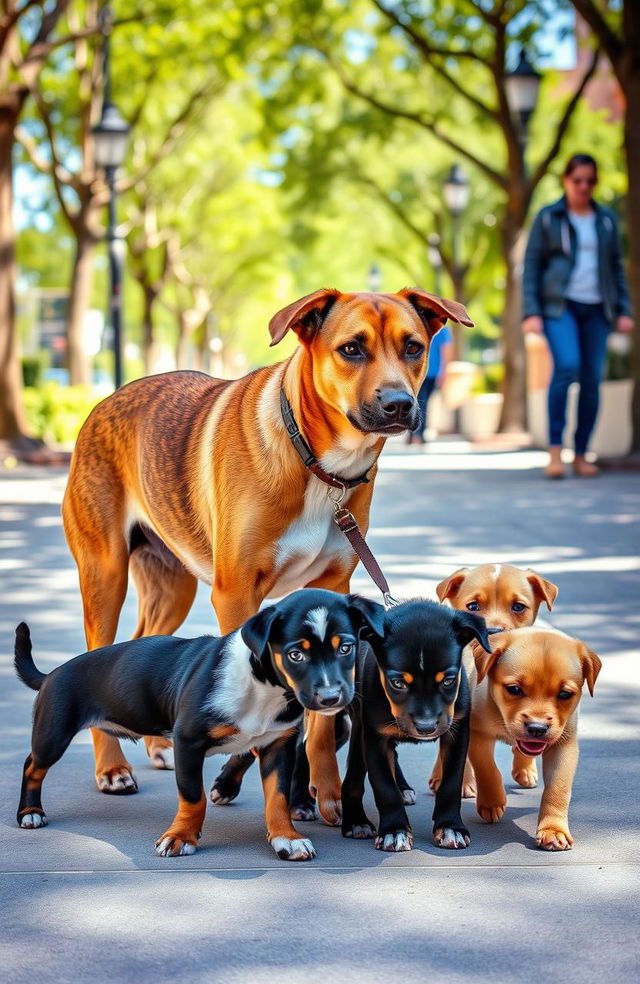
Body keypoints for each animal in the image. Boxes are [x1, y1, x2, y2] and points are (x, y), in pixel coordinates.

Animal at [13, 588, 380, 856]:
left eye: (346, 648)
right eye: (295, 654)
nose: (331, 698)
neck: (260, 685)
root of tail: (52, 674)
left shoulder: (278, 745)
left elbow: (277, 797)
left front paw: (285, 838)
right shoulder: (187, 742)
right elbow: (193, 797)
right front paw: (181, 837)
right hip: (53, 733)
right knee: (33, 766)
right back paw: (30, 812)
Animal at [340, 600, 490, 852]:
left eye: (448, 680)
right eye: (398, 683)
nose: (426, 727)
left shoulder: (457, 731)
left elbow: (451, 783)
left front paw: (450, 827)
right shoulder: (374, 736)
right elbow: (384, 786)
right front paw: (394, 830)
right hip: (360, 727)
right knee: (354, 776)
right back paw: (356, 821)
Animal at [470, 632, 600, 852]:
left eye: (565, 694)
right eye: (514, 689)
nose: (537, 728)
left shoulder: (563, 744)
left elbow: (558, 788)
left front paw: (553, 830)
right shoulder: (477, 732)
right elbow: (486, 767)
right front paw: (492, 801)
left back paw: (525, 771)